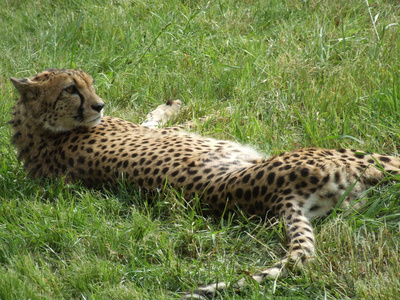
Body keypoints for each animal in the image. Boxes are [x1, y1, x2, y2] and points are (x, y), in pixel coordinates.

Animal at [9, 69, 400, 298]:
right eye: (70, 89)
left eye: (89, 83)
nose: (99, 105)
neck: (40, 130)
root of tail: (278, 199)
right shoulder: (164, 132)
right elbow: (184, 120)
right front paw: (220, 109)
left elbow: (158, 117)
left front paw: (176, 104)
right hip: (360, 157)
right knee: (392, 163)